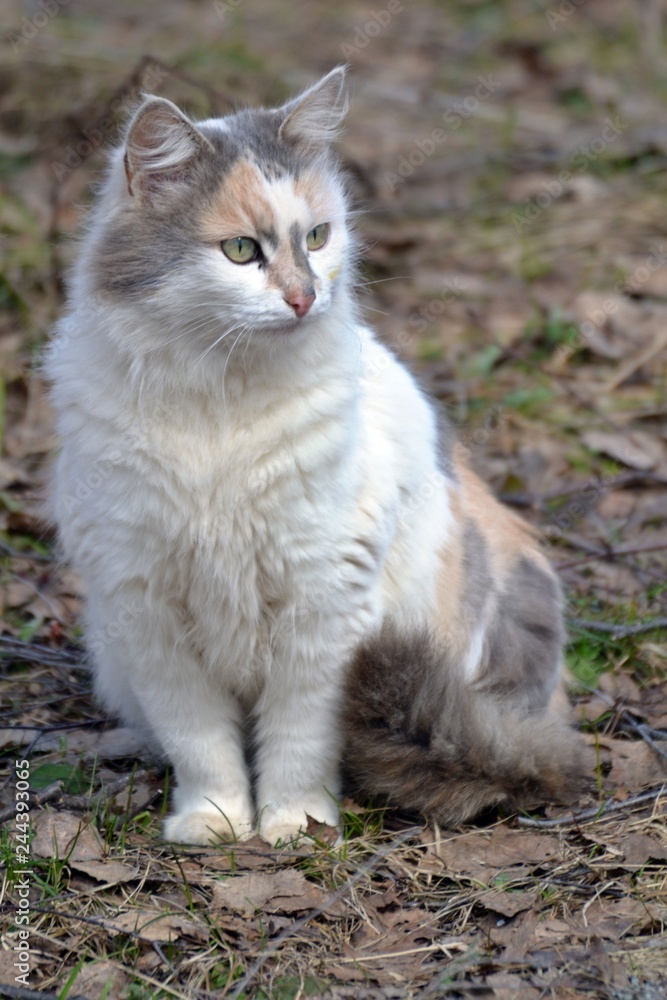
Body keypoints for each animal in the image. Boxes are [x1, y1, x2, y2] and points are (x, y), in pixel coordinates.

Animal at [45, 66, 588, 844]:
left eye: (319, 237)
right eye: (241, 251)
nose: (305, 298)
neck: (220, 404)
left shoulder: (323, 602)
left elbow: (300, 738)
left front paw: (295, 827)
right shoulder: (144, 606)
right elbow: (200, 741)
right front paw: (215, 822)